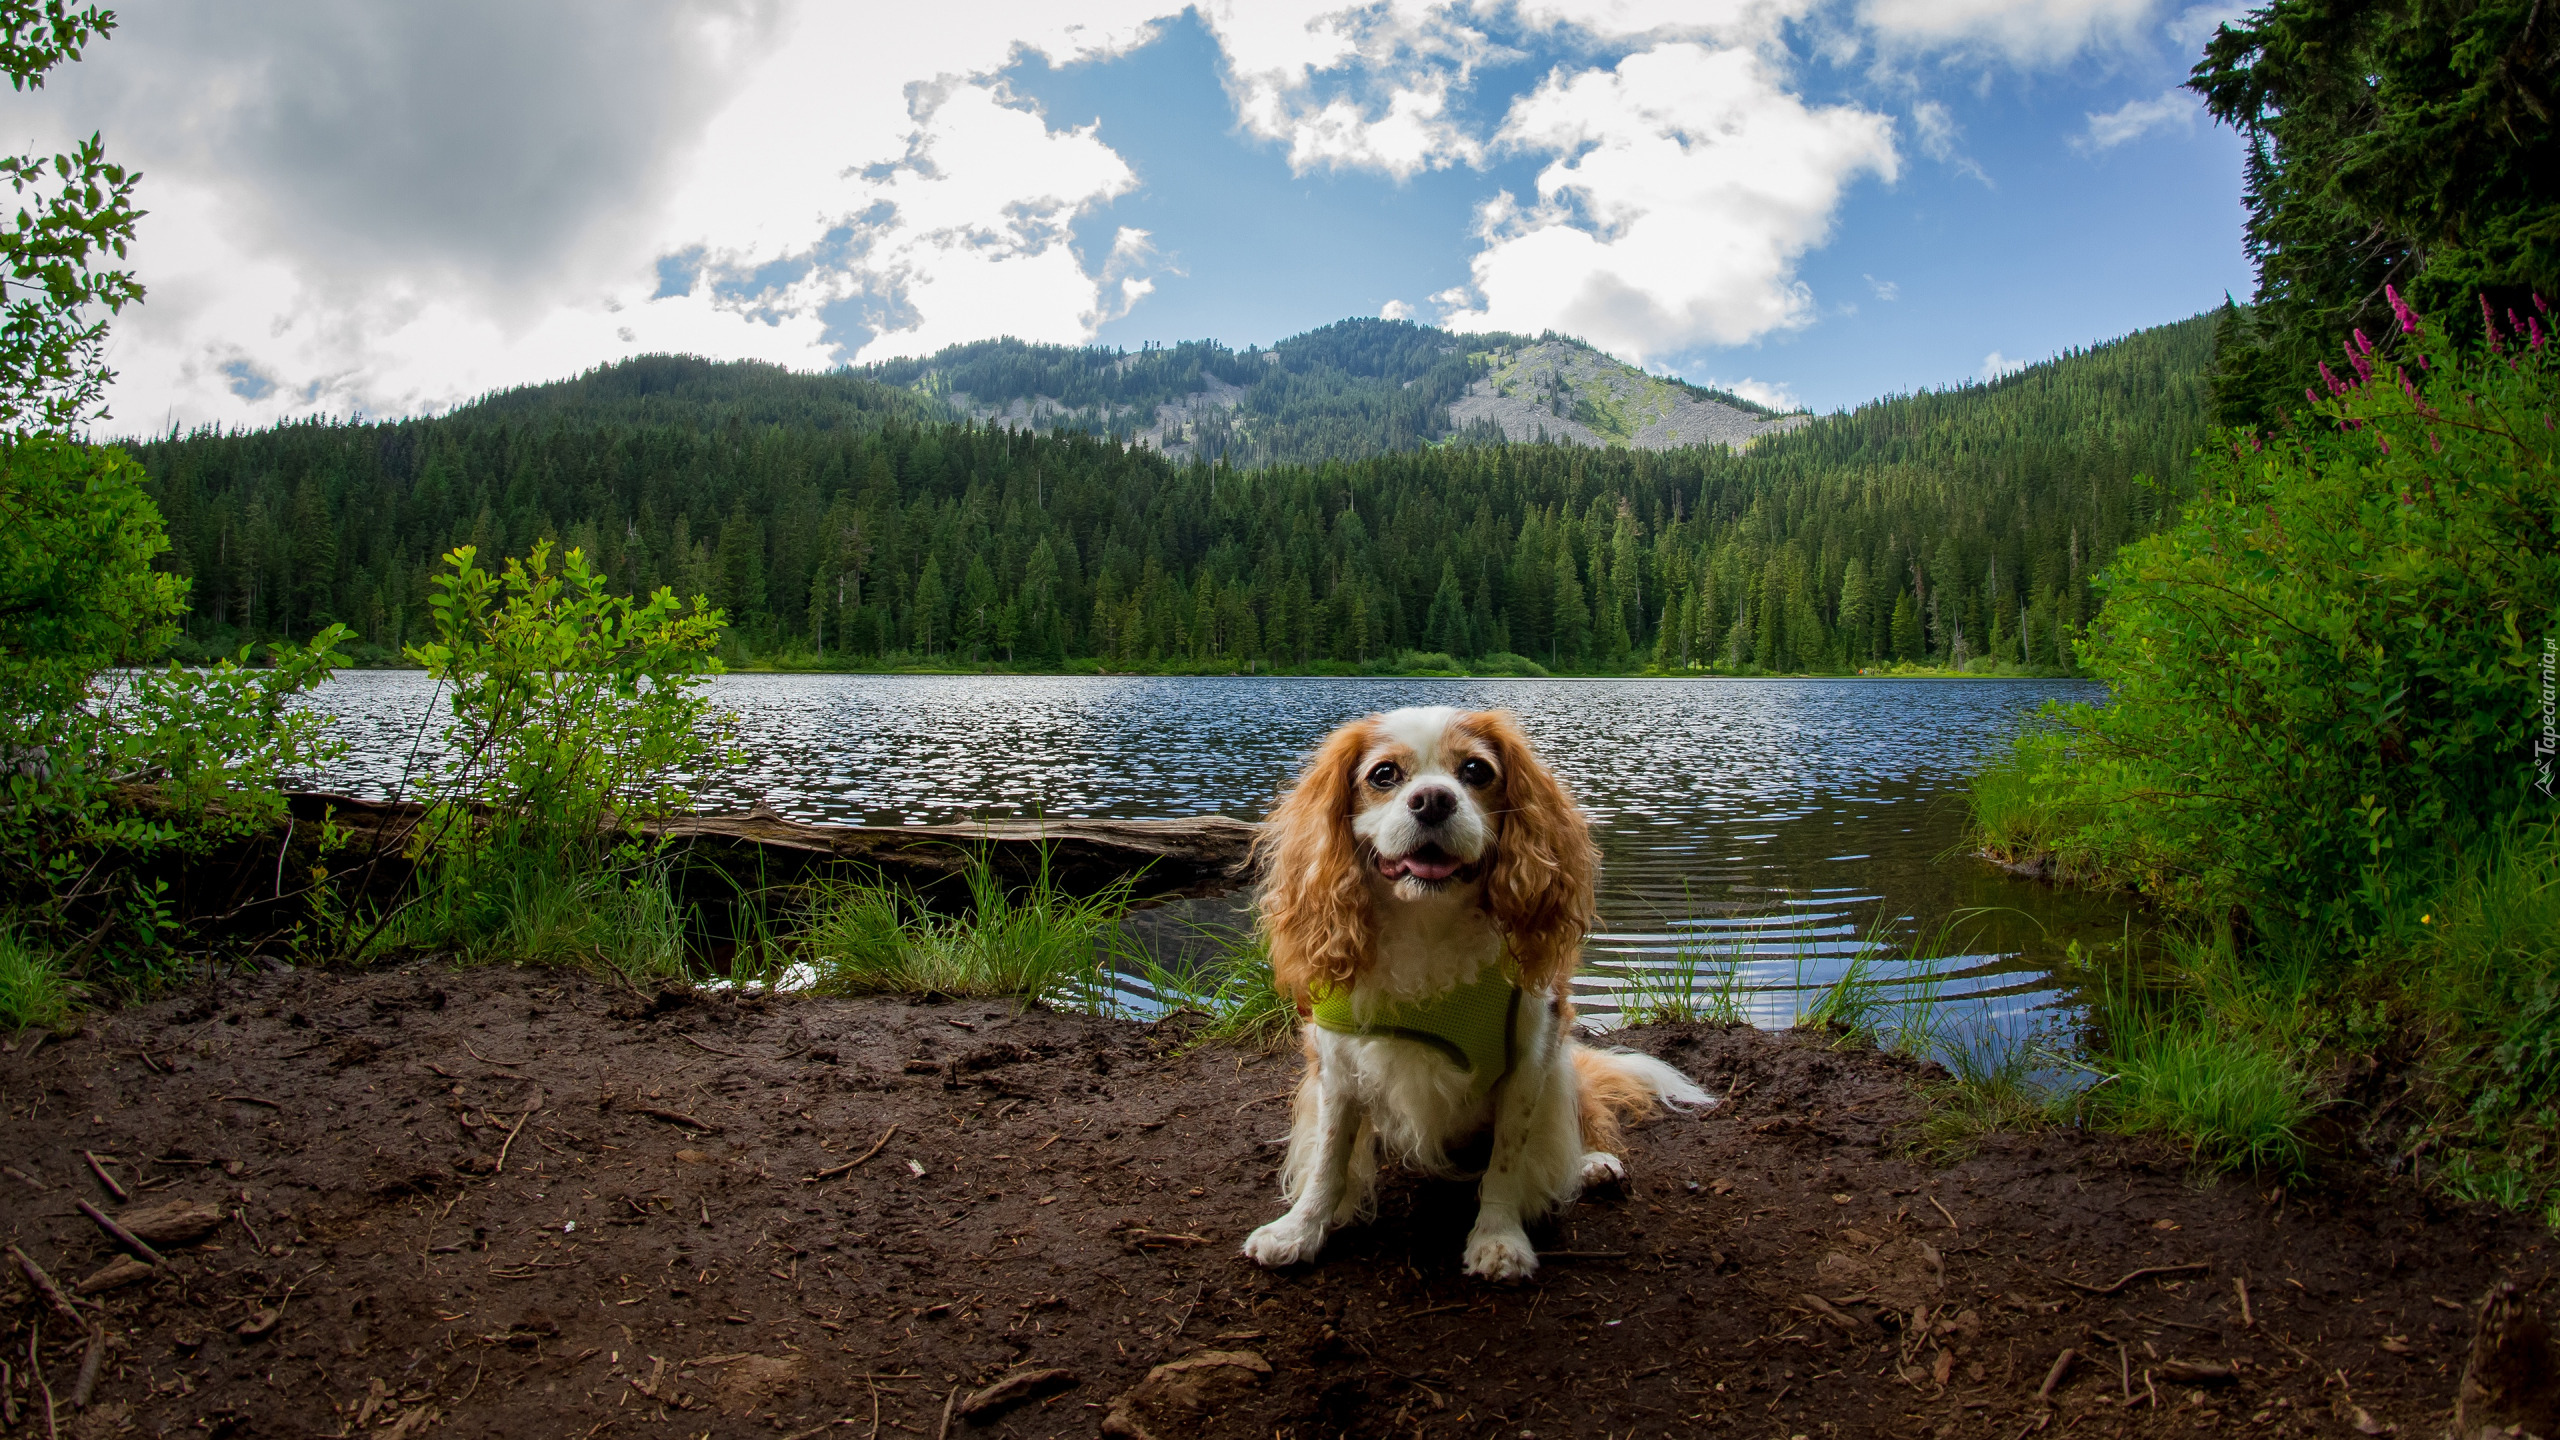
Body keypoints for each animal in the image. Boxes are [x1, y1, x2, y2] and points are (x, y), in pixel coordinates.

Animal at [1244, 702, 1720, 1270]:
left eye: (1475, 771)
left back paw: (1592, 1160)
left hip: (1561, 1063)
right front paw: (1301, 1229)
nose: (1432, 799)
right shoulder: (1337, 1065)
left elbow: (1506, 1164)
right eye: (1384, 775)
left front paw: (1499, 1238)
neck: (1427, 921)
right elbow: (1327, 1159)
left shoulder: (1529, 1059)